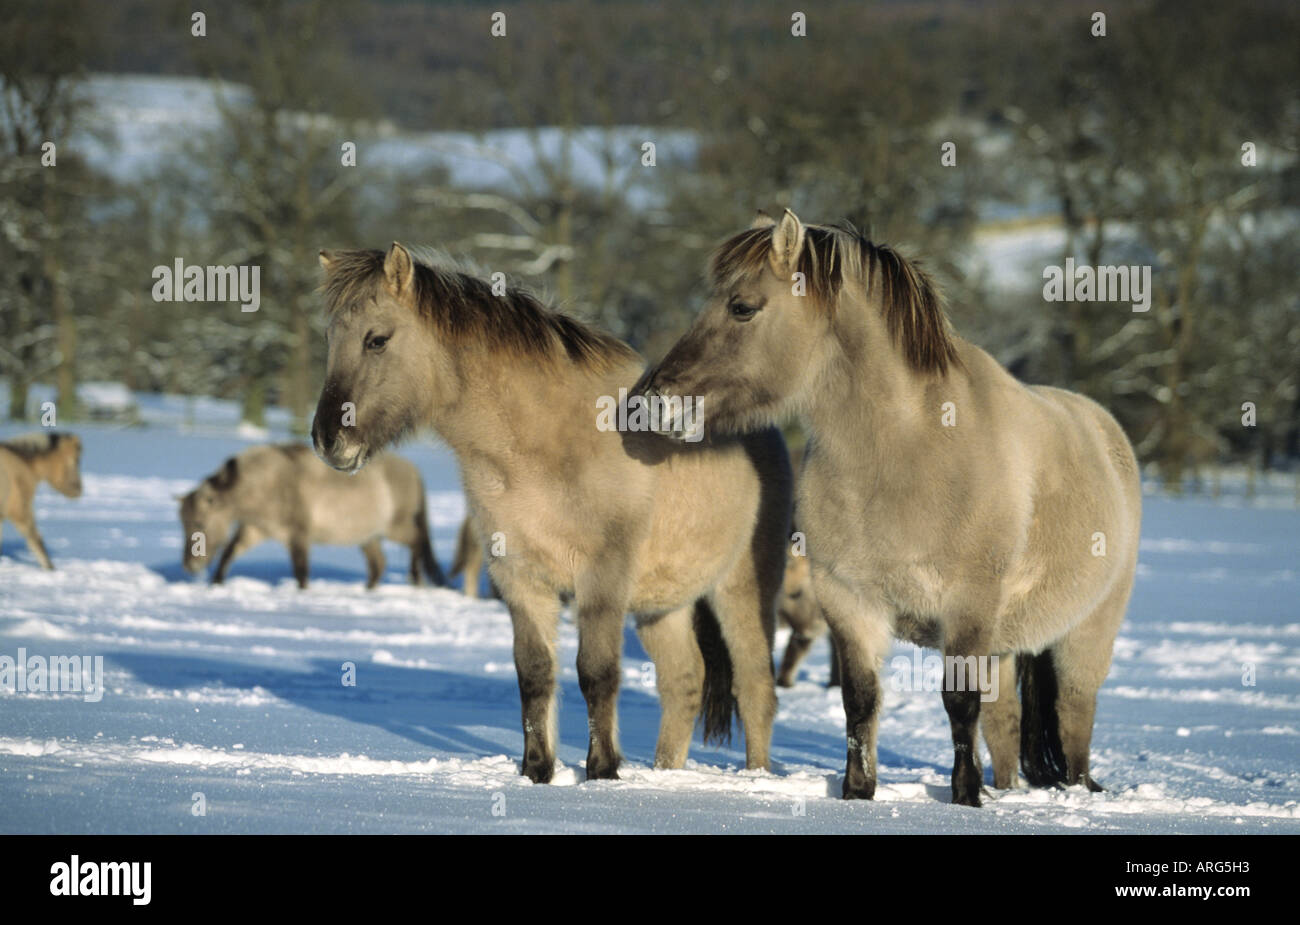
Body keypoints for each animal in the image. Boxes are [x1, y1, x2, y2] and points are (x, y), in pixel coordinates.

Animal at [178, 441, 444, 589]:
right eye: (183, 525)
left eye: (199, 523)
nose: (190, 565)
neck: (267, 483)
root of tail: (413, 471)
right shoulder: (256, 529)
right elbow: (229, 552)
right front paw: (216, 583)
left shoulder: (298, 534)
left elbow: (301, 570)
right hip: (368, 536)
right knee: (379, 564)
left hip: (395, 527)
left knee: (417, 541)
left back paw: (415, 578)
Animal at [309, 244, 790, 779]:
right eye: (330, 337)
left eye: (377, 339)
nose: (328, 439)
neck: (545, 442)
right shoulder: (520, 578)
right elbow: (535, 673)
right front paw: (537, 770)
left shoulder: (601, 579)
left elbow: (596, 673)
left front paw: (602, 771)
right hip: (664, 604)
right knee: (684, 683)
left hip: (741, 591)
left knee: (756, 691)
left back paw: (757, 776)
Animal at [637, 213, 1138, 805]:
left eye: (742, 306)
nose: (652, 403)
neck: (911, 449)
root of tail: (1105, 431)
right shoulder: (849, 602)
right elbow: (860, 699)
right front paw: (859, 792)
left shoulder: (967, 608)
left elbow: (958, 702)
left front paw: (965, 796)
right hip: (1007, 644)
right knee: (1007, 723)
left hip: (1086, 634)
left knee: (1073, 716)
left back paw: (1074, 790)